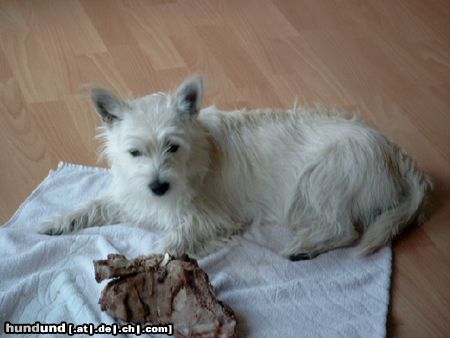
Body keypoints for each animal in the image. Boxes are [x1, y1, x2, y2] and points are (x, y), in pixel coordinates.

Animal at [39, 76, 432, 260]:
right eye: (134, 152)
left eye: (173, 147)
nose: (159, 186)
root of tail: (395, 152)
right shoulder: (130, 195)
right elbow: (92, 206)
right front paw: (56, 222)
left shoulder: (210, 219)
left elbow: (173, 239)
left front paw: (144, 261)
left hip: (320, 180)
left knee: (346, 230)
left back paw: (304, 247)